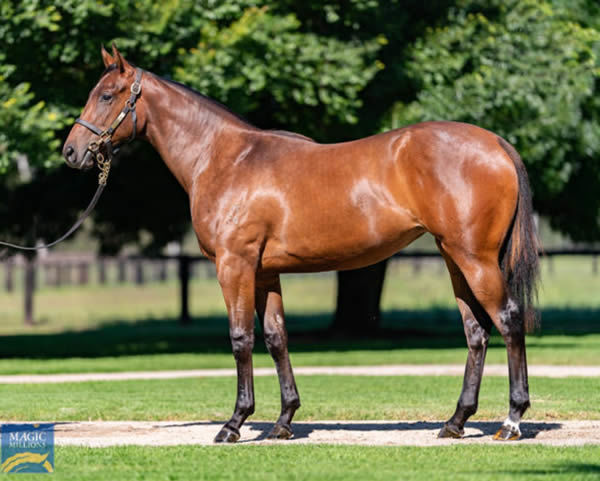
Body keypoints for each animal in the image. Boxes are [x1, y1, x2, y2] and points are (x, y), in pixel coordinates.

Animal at [64, 46, 540, 442]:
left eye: (107, 95)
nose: (71, 152)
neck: (224, 159)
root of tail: (494, 142)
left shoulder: (234, 266)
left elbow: (241, 337)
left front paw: (234, 424)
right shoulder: (265, 273)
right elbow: (277, 338)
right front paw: (283, 421)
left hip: (474, 259)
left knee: (508, 321)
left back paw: (512, 421)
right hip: (454, 259)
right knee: (476, 332)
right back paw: (456, 422)